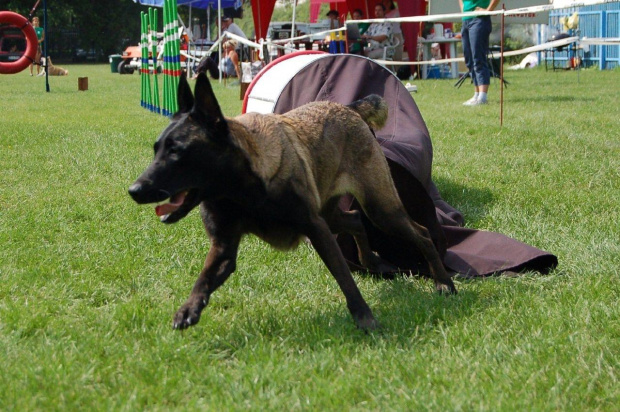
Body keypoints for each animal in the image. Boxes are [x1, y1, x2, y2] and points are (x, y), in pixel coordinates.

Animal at [128, 74, 456, 332]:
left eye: (177, 151)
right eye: (157, 149)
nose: (134, 190)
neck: (240, 191)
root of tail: (349, 108)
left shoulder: (316, 229)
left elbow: (344, 278)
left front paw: (366, 319)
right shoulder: (224, 248)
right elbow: (204, 279)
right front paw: (188, 309)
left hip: (381, 209)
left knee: (421, 233)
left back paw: (443, 282)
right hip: (335, 212)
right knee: (354, 218)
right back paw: (371, 260)